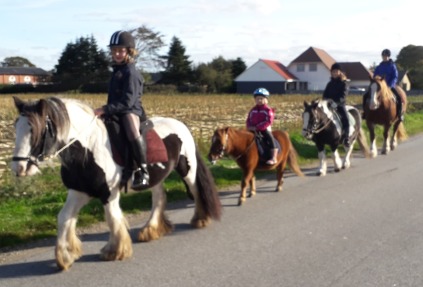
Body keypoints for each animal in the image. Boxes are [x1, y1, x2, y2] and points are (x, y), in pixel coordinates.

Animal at [9, 97, 222, 272]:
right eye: (16, 127)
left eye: (34, 129)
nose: (18, 167)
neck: (87, 149)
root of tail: (180, 124)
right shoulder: (78, 192)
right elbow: (64, 218)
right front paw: (65, 256)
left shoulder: (108, 193)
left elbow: (112, 219)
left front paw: (115, 251)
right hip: (156, 177)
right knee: (159, 198)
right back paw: (150, 230)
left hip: (188, 170)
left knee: (196, 191)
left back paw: (200, 220)